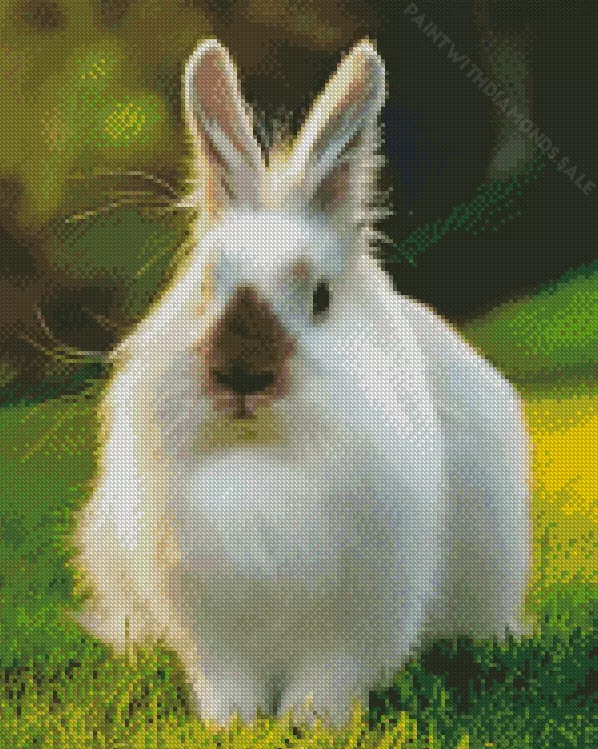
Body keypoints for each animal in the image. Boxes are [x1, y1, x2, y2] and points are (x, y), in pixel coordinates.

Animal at [72, 37, 531, 729]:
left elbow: (328, 680)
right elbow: (226, 682)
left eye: (320, 298)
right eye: (205, 286)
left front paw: (310, 722)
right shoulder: (210, 626)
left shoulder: (355, 620)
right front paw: (231, 724)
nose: (241, 374)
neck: (263, 455)